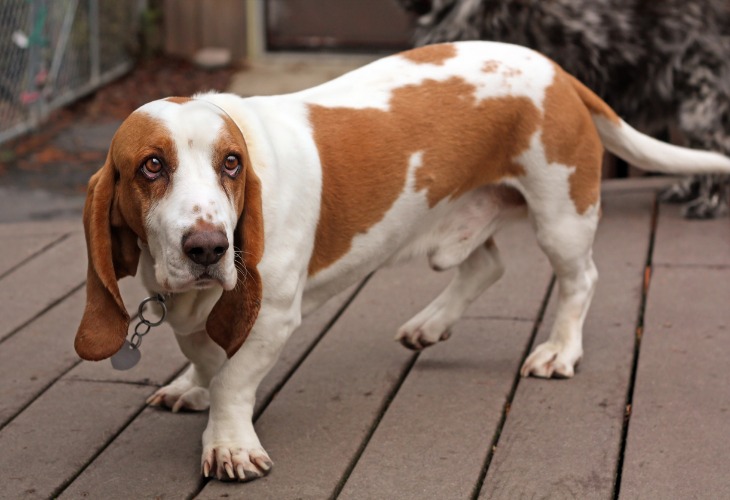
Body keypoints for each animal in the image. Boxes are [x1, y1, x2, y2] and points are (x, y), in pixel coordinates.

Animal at [72, 42, 728, 480]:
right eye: (151, 167)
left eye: (230, 163)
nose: (207, 247)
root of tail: (557, 70)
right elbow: (206, 356)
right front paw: (193, 386)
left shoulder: (274, 315)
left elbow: (233, 377)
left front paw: (228, 443)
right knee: (486, 265)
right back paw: (429, 325)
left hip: (561, 216)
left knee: (580, 280)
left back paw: (559, 351)